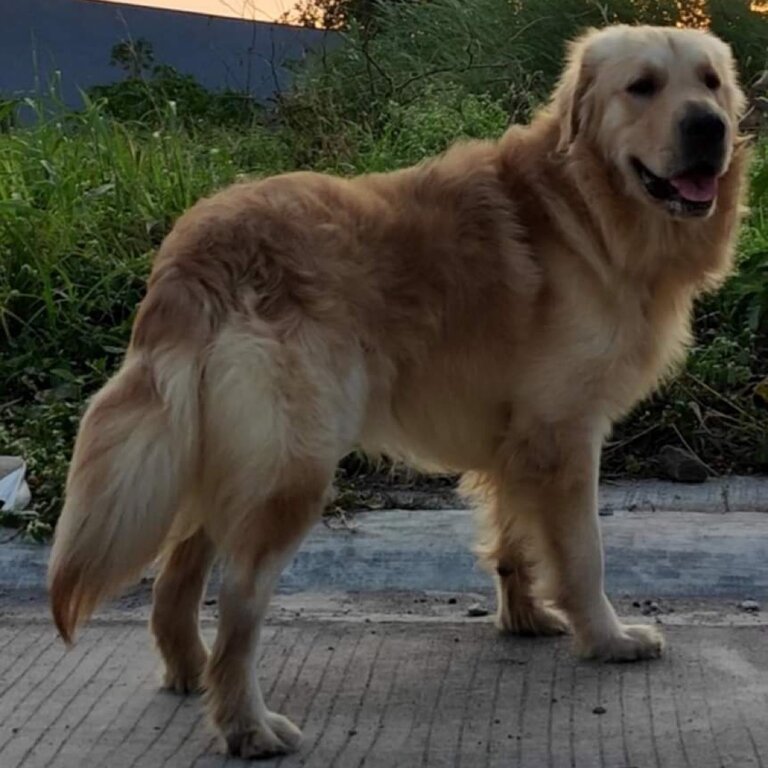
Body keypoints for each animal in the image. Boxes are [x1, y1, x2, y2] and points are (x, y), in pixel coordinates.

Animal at [49, 22, 752, 756]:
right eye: (642, 87)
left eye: (710, 83)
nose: (710, 126)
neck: (583, 208)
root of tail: (197, 246)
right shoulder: (564, 435)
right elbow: (583, 555)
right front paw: (608, 638)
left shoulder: (516, 441)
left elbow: (513, 541)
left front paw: (525, 617)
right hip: (291, 469)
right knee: (239, 601)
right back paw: (246, 724)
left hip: (229, 454)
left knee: (177, 576)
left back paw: (190, 674)